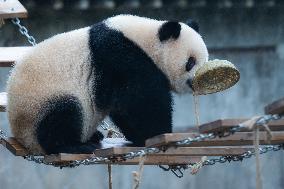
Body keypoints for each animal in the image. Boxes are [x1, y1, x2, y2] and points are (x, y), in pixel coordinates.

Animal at [6, 14, 209, 154]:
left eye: (205, 59)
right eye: (190, 62)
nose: (198, 81)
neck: (145, 39)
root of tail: (23, 139)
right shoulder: (120, 58)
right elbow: (137, 102)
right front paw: (158, 134)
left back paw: (93, 136)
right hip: (40, 103)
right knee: (63, 115)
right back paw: (73, 146)